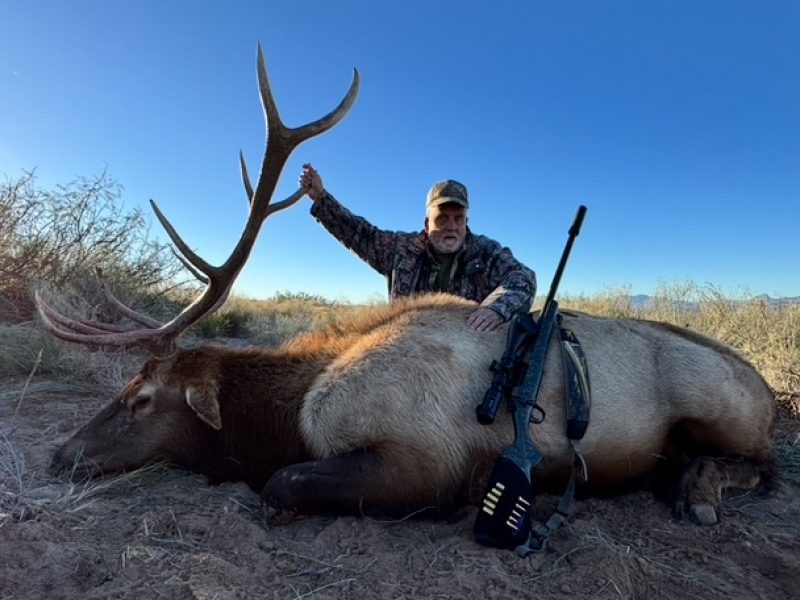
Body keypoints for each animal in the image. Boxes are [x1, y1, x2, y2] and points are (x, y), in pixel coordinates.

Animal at [38, 45, 776, 531]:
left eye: (141, 398)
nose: (59, 452)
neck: (290, 412)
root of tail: (767, 389)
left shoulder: (421, 459)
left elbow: (280, 484)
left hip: (723, 412)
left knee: (766, 466)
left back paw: (699, 493)